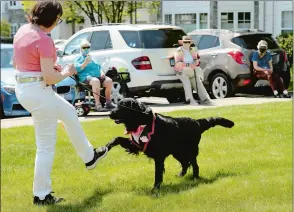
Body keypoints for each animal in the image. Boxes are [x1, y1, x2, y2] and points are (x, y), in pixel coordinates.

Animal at [105, 98, 234, 191]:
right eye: (117, 105)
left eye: (122, 107)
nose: (110, 114)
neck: (143, 121)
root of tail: (197, 122)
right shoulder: (136, 144)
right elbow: (118, 138)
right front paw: (107, 145)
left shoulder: (158, 156)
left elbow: (158, 173)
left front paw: (155, 189)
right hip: (177, 152)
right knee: (185, 163)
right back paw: (181, 175)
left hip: (189, 150)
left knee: (194, 164)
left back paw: (195, 178)